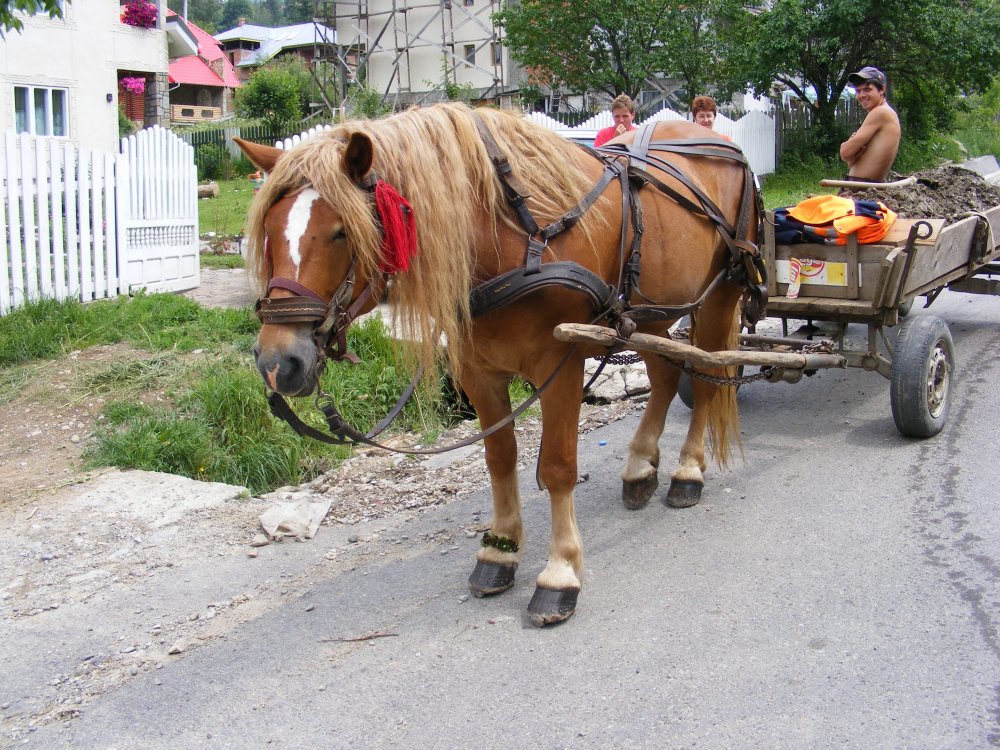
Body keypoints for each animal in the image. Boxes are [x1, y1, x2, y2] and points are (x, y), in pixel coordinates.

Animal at [235, 102, 763, 626]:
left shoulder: (560, 365)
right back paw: (639, 467)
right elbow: (499, 458)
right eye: (269, 231)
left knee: (708, 382)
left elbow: (557, 467)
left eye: (342, 231)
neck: (512, 237)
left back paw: (687, 472)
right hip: (651, 313)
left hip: (718, 299)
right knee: (668, 375)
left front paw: (560, 573)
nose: (278, 361)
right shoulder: (478, 373)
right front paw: (500, 549)